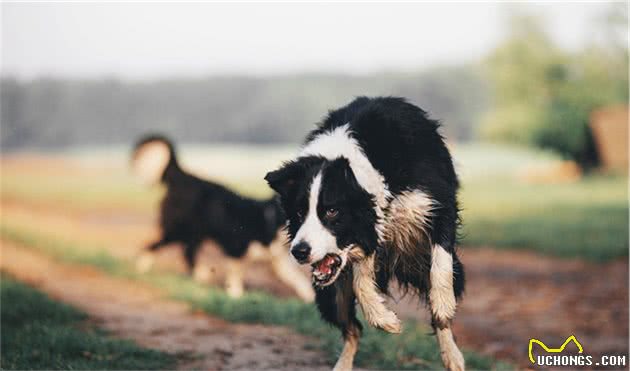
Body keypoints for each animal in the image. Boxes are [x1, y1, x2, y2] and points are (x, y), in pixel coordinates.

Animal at [131, 135, 316, 304]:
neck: (268, 220)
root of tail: (183, 176)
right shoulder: (236, 249)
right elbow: (235, 275)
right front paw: (235, 296)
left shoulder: (277, 263)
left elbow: (296, 279)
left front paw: (308, 297)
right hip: (179, 230)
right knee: (153, 245)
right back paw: (142, 265)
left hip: (195, 234)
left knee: (187, 252)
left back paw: (200, 275)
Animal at [266, 97, 470, 370]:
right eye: (299, 213)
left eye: (331, 211)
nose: (299, 252)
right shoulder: (367, 235)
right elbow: (361, 282)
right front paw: (386, 320)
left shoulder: (435, 203)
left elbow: (441, 264)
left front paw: (443, 305)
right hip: (331, 294)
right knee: (353, 329)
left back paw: (452, 355)